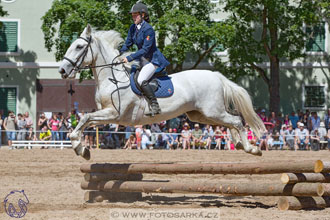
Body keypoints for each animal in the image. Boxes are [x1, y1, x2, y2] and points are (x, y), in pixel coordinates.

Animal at [58, 24, 266, 160]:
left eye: (79, 46)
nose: (62, 71)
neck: (113, 78)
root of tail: (216, 75)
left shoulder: (114, 114)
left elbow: (85, 119)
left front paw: (78, 147)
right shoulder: (108, 117)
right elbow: (85, 122)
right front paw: (80, 147)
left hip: (212, 111)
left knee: (236, 121)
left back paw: (251, 148)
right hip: (201, 115)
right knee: (230, 122)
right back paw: (239, 143)